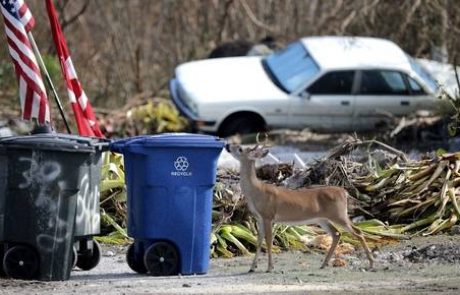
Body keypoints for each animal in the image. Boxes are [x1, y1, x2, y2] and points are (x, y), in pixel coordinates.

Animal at [226, 140, 374, 274]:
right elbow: (259, 241)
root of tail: (344, 192)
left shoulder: (268, 216)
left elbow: (268, 241)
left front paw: (269, 268)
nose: (227, 145)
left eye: (240, 148)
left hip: (339, 214)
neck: (256, 191)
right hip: (323, 219)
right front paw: (252, 267)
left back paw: (371, 263)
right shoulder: (259, 218)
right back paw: (324, 264)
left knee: (357, 232)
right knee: (337, 234)